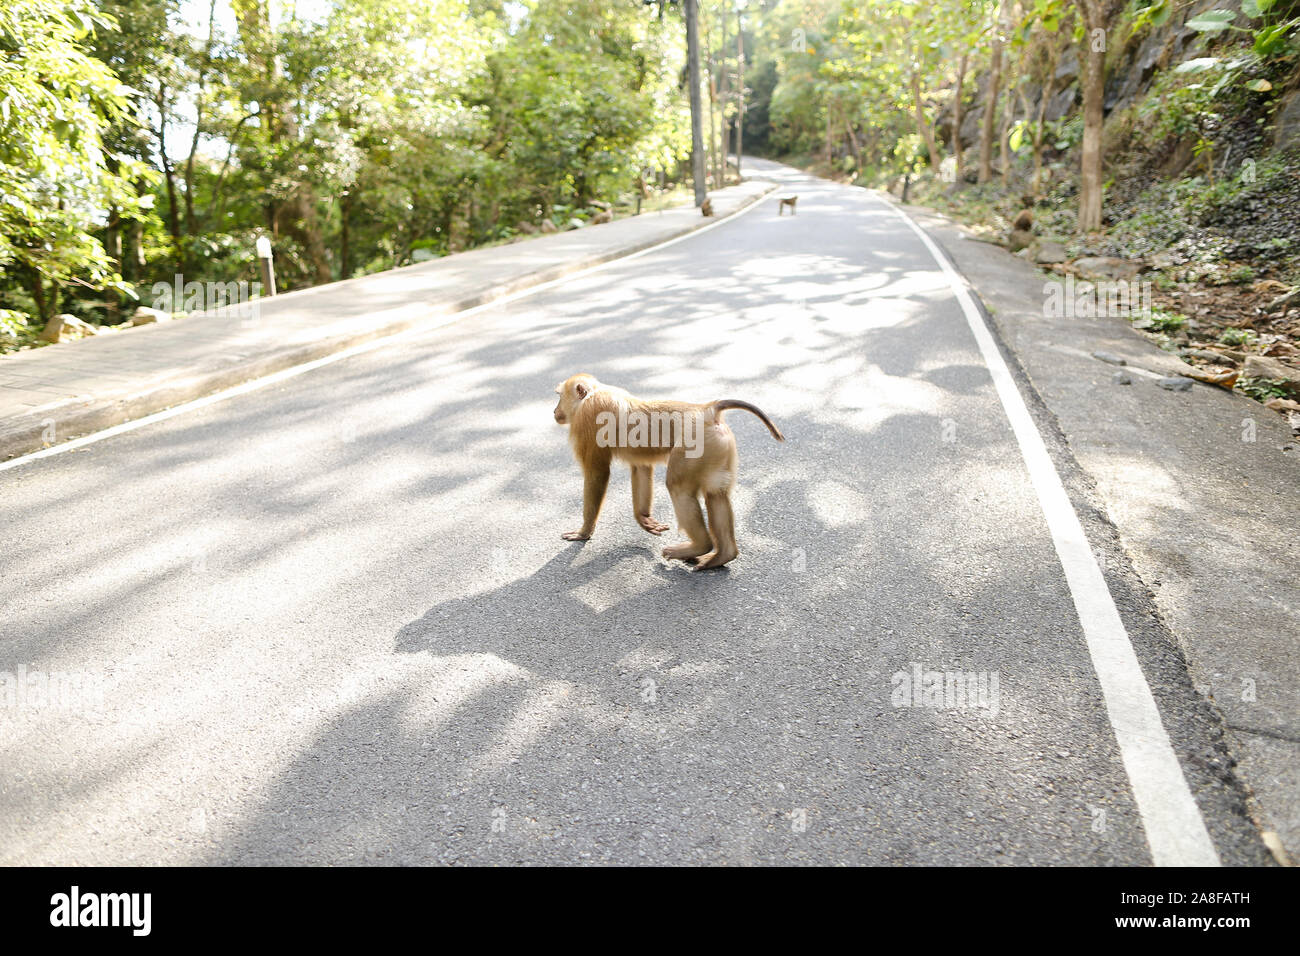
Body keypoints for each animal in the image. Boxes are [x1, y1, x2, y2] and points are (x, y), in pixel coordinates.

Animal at [551, 374, 780, 567]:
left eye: (559, 396)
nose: (554, 411)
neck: (594, 393)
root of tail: (707, 409)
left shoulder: (587, 420)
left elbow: (597, 472)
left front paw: (584, 532)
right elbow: (641, 467)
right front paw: (643, 518)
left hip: (694, 446)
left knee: (679, 488)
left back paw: (700, 546)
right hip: (718, 446)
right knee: (716, 494)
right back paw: (723, 555)